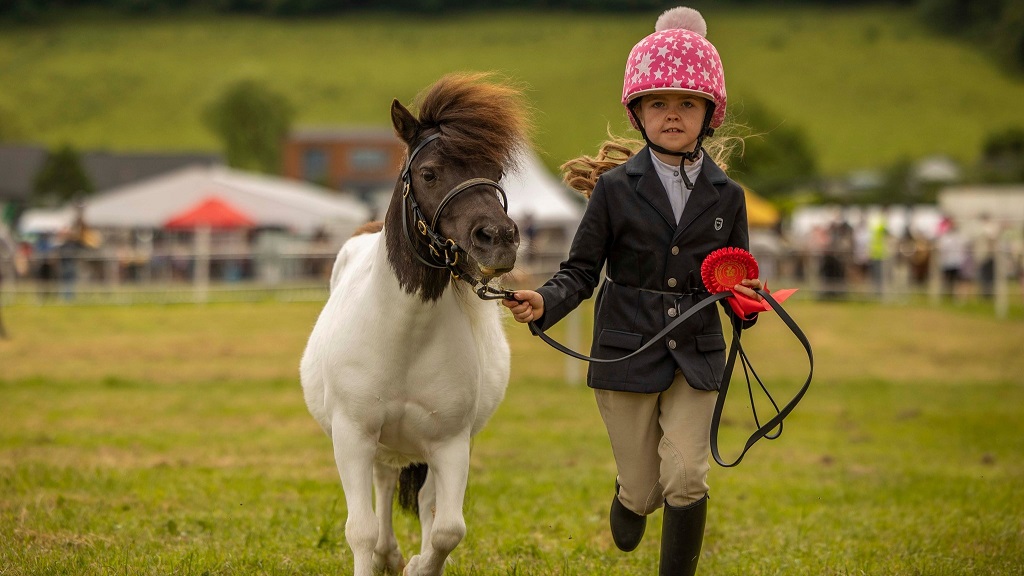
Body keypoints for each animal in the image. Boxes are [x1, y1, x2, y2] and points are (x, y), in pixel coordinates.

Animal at [299, 73, 531, 576]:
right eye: (429, 174)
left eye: (495, 173)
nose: (499, 239)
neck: (404, 336)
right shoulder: (353, 437)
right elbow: (361, 530)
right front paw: (385, 558)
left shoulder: (451, 444)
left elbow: (447, 529)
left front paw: (420, 566)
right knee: (385, 485)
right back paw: (389, 553)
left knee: (424, 502)